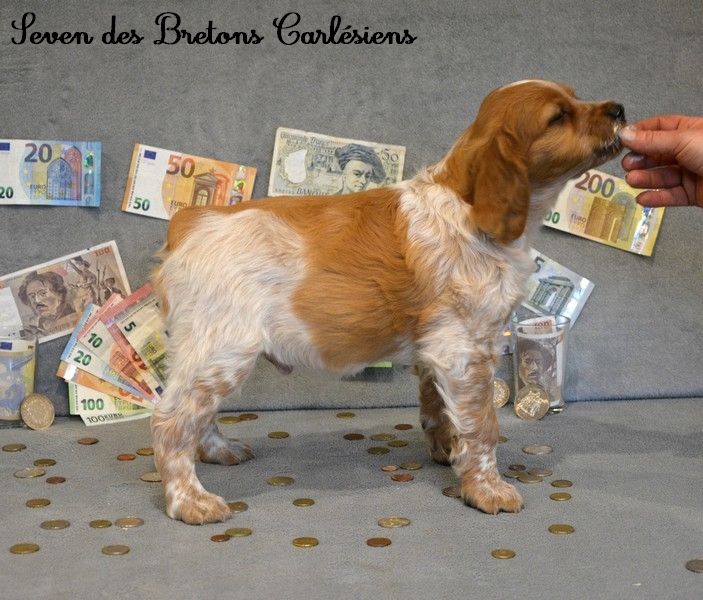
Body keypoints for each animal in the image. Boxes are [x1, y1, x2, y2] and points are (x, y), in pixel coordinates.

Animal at [152, 79, 625, 524]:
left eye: (576, 97)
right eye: (558, 117)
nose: (620, 108)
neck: (466, 207)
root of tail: (189, 222)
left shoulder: (437, 350)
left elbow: (438, 409)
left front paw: (448, 454)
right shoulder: (464, 349)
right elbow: (483, 426)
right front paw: (488, 489)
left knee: (198, 415)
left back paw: (219, 451)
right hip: (221, 351)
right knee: (170, 422)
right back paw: (190, 500)